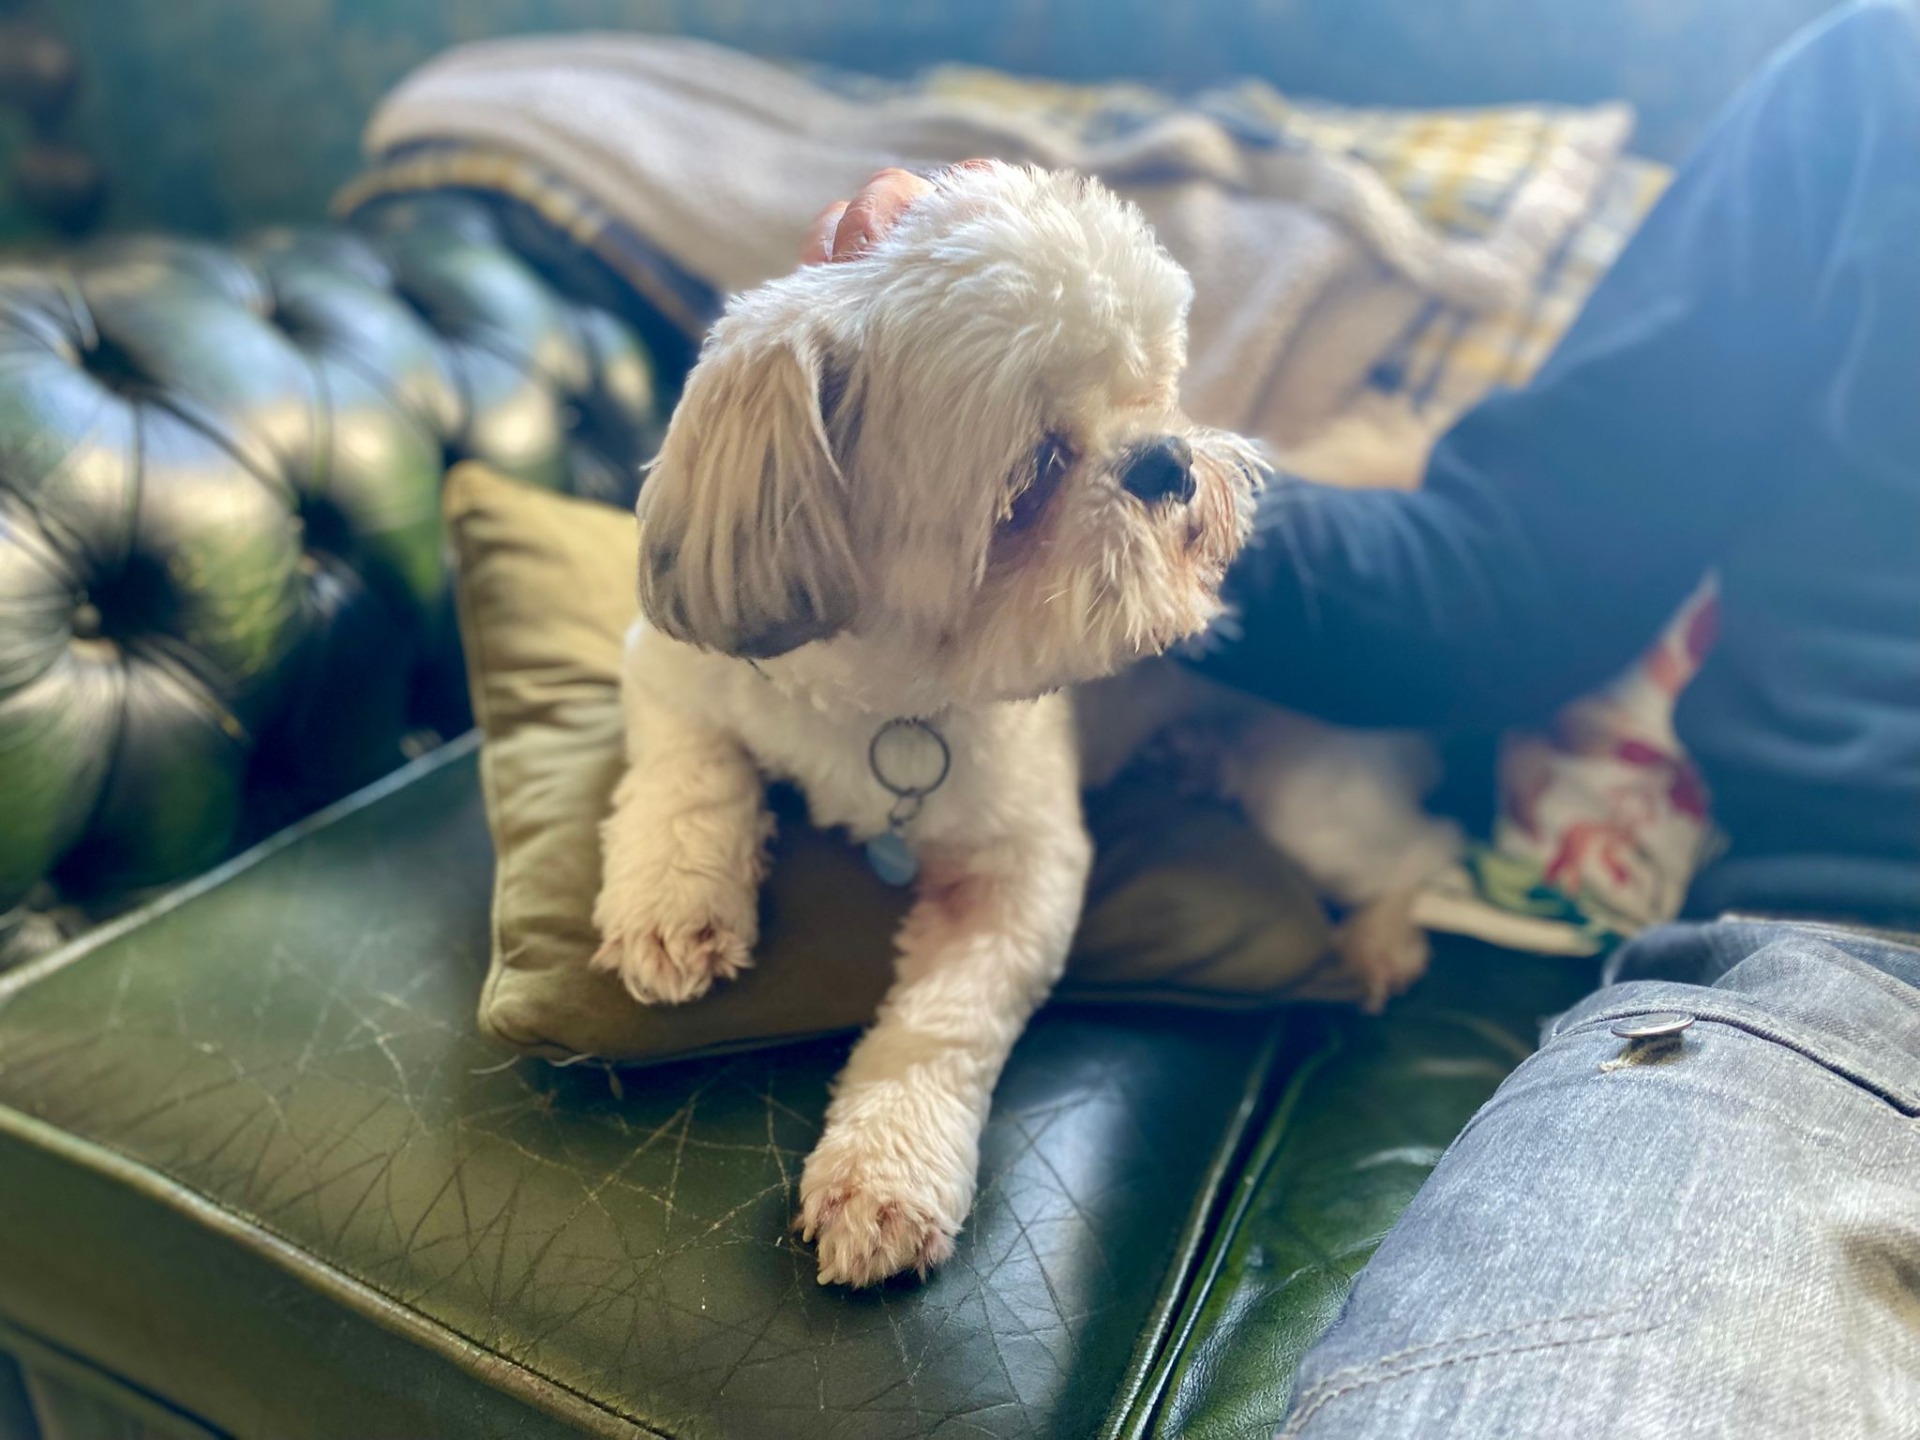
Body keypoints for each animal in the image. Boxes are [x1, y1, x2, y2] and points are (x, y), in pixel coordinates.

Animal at [594, 161, 1460, 1287]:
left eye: (1154, 392)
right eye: (1036, 472)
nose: (1167, 460)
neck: (875, 695)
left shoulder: (1026, 871)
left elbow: (942, 1023)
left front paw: (886, 1169)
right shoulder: (672, 673)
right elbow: (685, 781)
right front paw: (672, 901)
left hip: (1316, 805)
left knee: (1425, 850)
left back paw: (1379, 946)